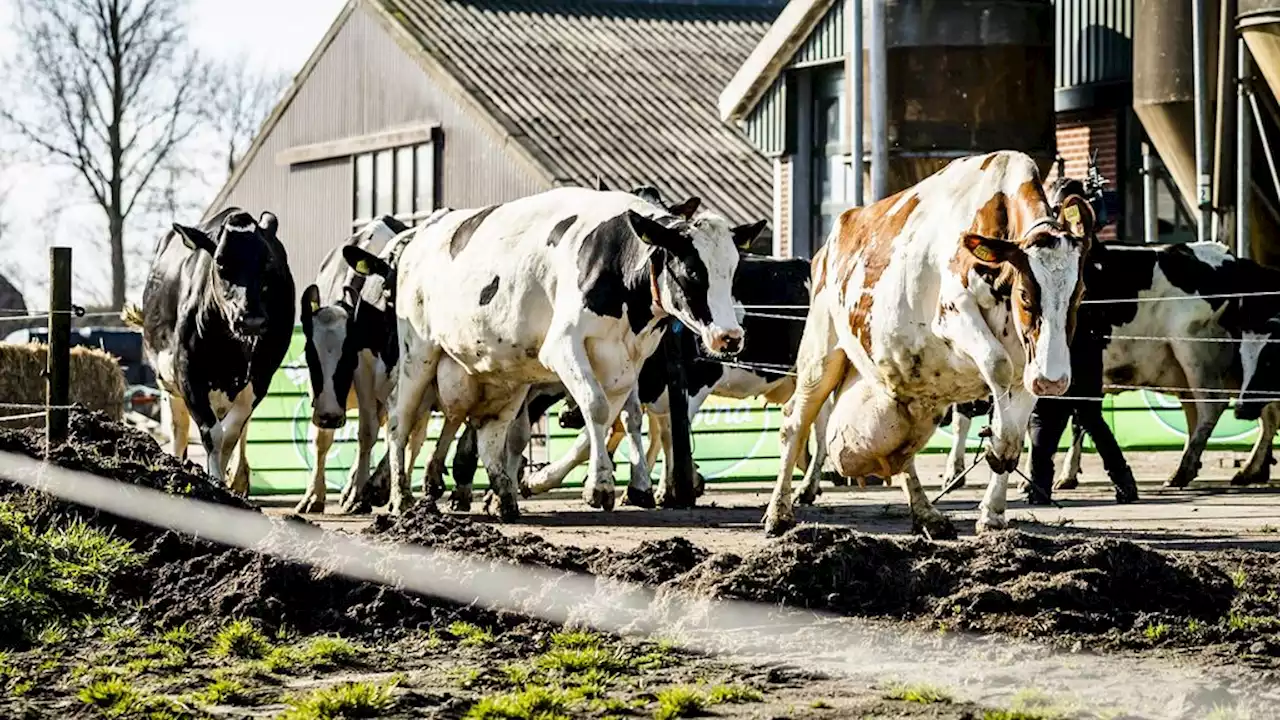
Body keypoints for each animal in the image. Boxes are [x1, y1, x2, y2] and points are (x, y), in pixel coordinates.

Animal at [128, 204, 296, 489]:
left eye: (267, 262)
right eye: (220, 262)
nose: (251, 319)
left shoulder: (260, 378)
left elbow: (230, 434)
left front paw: (225, 482)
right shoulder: (188, 373)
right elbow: (212, 433)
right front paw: (214, 480)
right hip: (168, 386)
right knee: (179, 431)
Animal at [345, 184, 752, 515]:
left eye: (734, 270)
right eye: (691, 270)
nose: (731, 336)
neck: (613, 260)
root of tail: (422, 237)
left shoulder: (628, 362)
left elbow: (613, 418)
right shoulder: (563, 345)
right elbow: (595, 406)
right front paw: (600, 486)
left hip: (500, 374)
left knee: (487, 431)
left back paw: (501, 496)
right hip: (419, 354)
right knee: (401, 421)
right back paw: (400, 498)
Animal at [762, 149, 1095, 532]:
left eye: (1080, 294)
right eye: (1026, 296)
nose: (1053, 382)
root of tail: (829, 244)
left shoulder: (1029, 359)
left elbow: (1016, 419)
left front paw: (993, 510)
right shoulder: (954, 313)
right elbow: (996, 364)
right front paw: (997, 444)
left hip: (912, 392)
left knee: (901, 452)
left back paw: (926, 514)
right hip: (821, 351)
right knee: (795, 422)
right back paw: (779, 512)